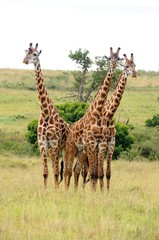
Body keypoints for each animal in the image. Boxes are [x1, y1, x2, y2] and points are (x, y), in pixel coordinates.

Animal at [22, 43, 70, 189]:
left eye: (35, 54)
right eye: (26, 53)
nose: (24, 60)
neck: (45, 112)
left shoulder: (54, 144)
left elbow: (55, 172)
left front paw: (56, 191)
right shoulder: (42, 145)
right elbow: (45, 172)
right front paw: (45, 191)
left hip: (64, 148)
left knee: (65, 170)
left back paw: (65, 189)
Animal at [63, 46, 120, 189]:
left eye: (118, 58)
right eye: (109, 58)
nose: (113, 66)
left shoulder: (106, 144)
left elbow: (102, 172)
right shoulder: (93, 144)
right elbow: (94, 172)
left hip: (81, 151)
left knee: (76, 170)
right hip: (72, 148)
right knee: (69, 170)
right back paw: (67, 189)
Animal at [76, 52, 136, 189]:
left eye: (135, 65)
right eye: (127, 65)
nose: (135, 73)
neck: (109, 115)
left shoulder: (111, 143)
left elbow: (107, 173)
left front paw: (106, 191)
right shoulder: (101, 144)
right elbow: (99, 172)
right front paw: (100, 191)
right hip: (85, 150)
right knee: (83, 171)